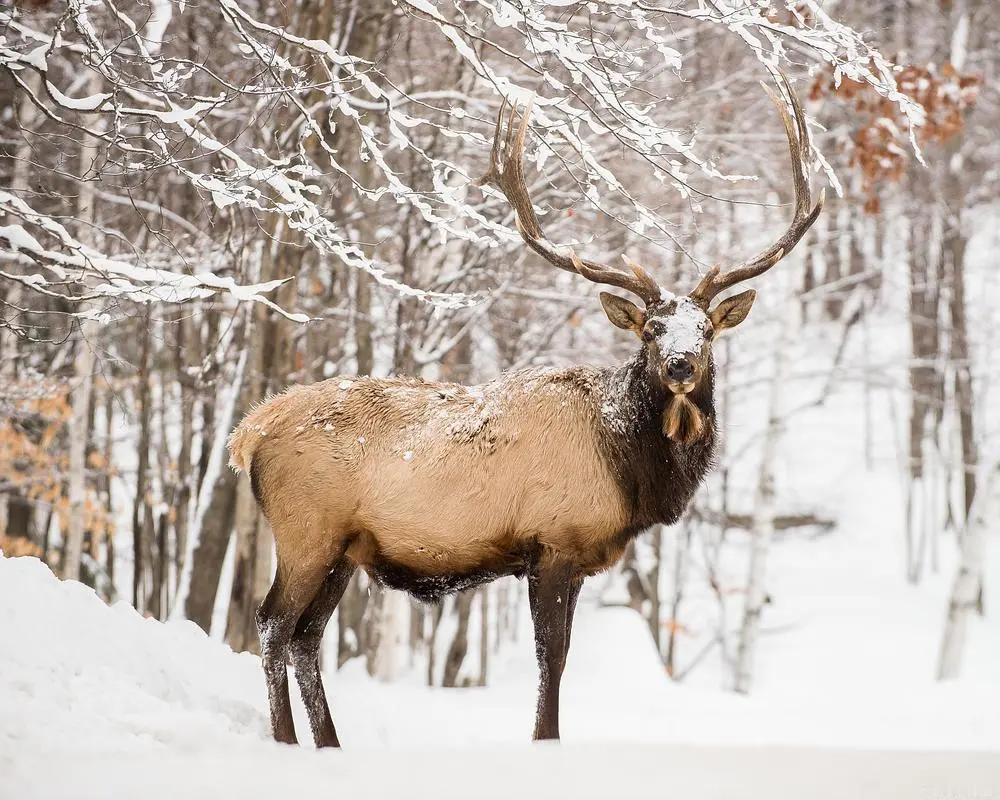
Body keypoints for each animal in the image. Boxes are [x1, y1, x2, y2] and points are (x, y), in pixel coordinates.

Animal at [227, 74, 823, 748]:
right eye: (651, 329)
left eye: (706, 331)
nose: (679, 365)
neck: (631, 469)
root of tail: (249, 432)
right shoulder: (554, 542)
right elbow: (551, 656)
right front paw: (545, 739)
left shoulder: (573, 559)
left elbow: (558, 656)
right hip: (306, 530)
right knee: (273, 625)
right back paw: (287, 741)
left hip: (345, 548)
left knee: (307, 637)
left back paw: (329, 744)